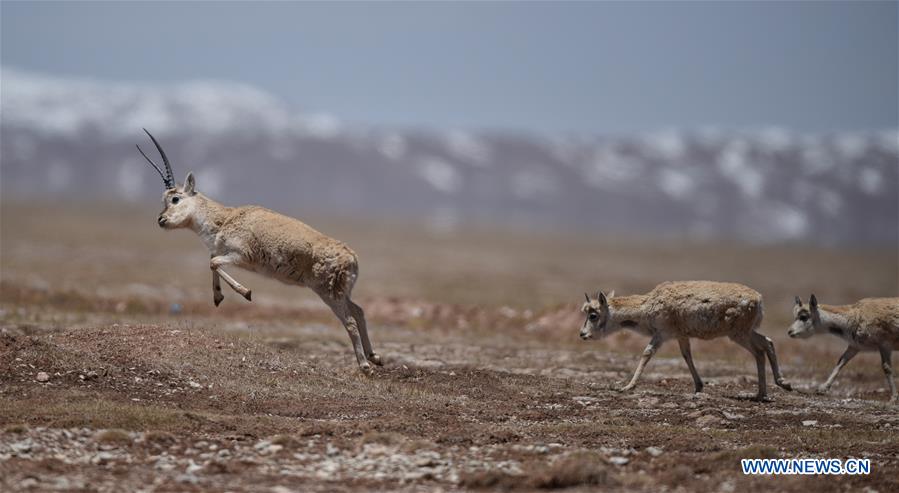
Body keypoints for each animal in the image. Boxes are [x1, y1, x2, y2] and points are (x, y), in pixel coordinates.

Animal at [135, 130, 382, 372]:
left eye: (175, 198)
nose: (161, 220)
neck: (225, 219)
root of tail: (352, 258)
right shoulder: (227, 254)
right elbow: (213, 260)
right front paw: (218, 297)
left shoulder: (241, 256)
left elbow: (213, 262)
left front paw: (246, 292)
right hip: (341, 292)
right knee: (359, 311)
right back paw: (375, 357)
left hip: (328, 293)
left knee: (350, 320)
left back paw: (365, 365)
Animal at [580, 280, 792, 400]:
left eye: (593, 315)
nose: (582, 334)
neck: (646, 306)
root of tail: (759, 299)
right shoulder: (681, 336)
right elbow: (686, 355)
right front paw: (698, 387)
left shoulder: (662, 334)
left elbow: (647, 353)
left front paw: (627, 386)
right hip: (746, 332)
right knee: (767, 343)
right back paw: (765, 391)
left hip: (739, 334)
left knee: (760, 349)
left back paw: (774, 387)